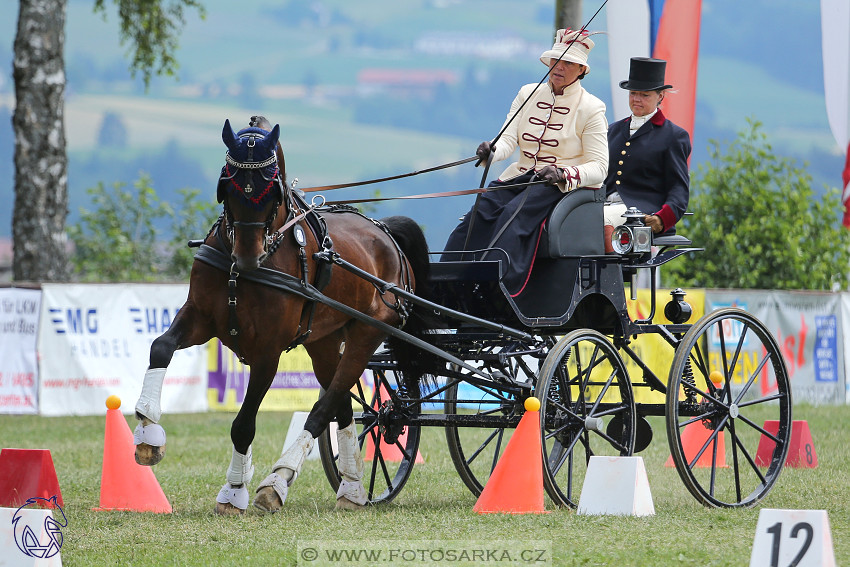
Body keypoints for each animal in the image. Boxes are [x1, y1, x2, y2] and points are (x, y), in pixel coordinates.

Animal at [135, 115, 434, 516]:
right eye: (228, 185)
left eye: (270, 190)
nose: (248, 256)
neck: (244, 271)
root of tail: (386, 235)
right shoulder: (200, 317)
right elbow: (160, 347)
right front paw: (148, 433)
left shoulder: (268, 352)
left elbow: (243, 425)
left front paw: (235, 491)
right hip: (324, 340)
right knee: (340, 404)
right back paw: (353, 488)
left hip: (367, 334)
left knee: (326, 404)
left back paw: (278, 481)